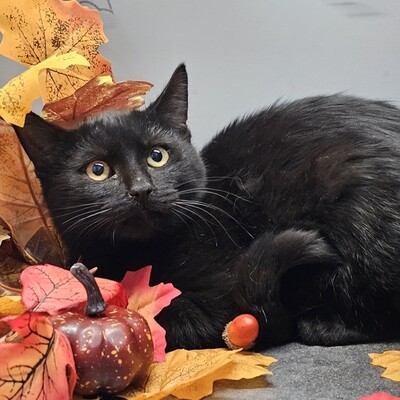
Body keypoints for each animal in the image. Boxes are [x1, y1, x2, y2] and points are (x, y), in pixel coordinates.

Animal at [14, 65, 400, 350]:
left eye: (157, 156)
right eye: (98, 170)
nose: (141, 189)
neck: (135, 258)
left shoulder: (220, 301)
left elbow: (159, 318)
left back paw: (323, 325)